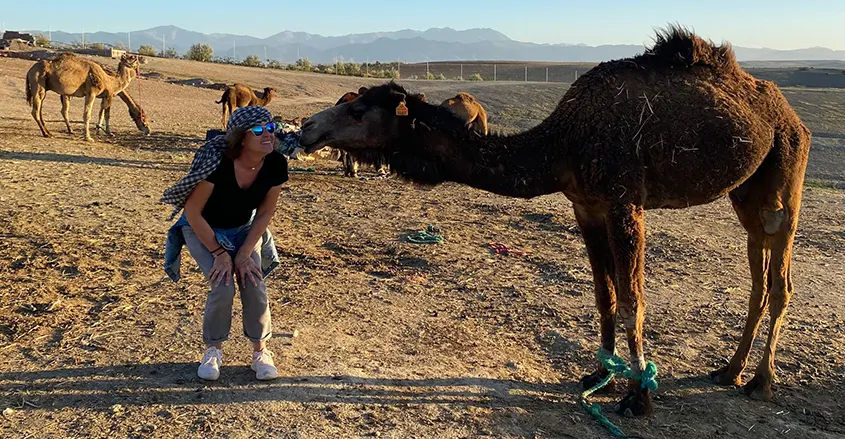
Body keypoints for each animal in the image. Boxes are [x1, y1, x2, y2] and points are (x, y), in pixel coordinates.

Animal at [296, 25, 812, 418]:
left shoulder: (625, 201)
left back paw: (761, 381)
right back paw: (729, 370)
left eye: (357, 109)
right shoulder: (586, 206)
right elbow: (604, 296)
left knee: (781, 277)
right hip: (745, 192)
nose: (306, 127)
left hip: (786, 168)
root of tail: (790, 113)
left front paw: (638, 396)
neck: (564, 142)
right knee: (759, 276)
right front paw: (600, 374)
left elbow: (632, 302)